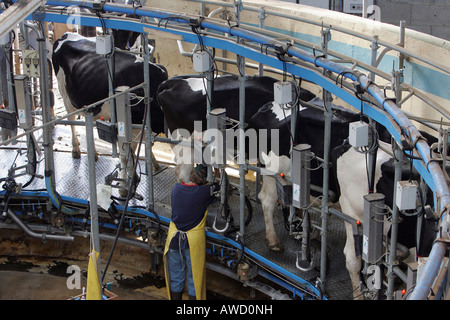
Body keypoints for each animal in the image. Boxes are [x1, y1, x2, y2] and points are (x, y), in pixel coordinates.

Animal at [51, 33, 167, 196]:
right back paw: (76, 149)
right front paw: (124, 187)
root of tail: (67, 34)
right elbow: (125, 156)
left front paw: (137, 174)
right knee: (72, 119)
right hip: (66, 95)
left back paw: (93, 153)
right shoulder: (121, 122)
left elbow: (136, 149)